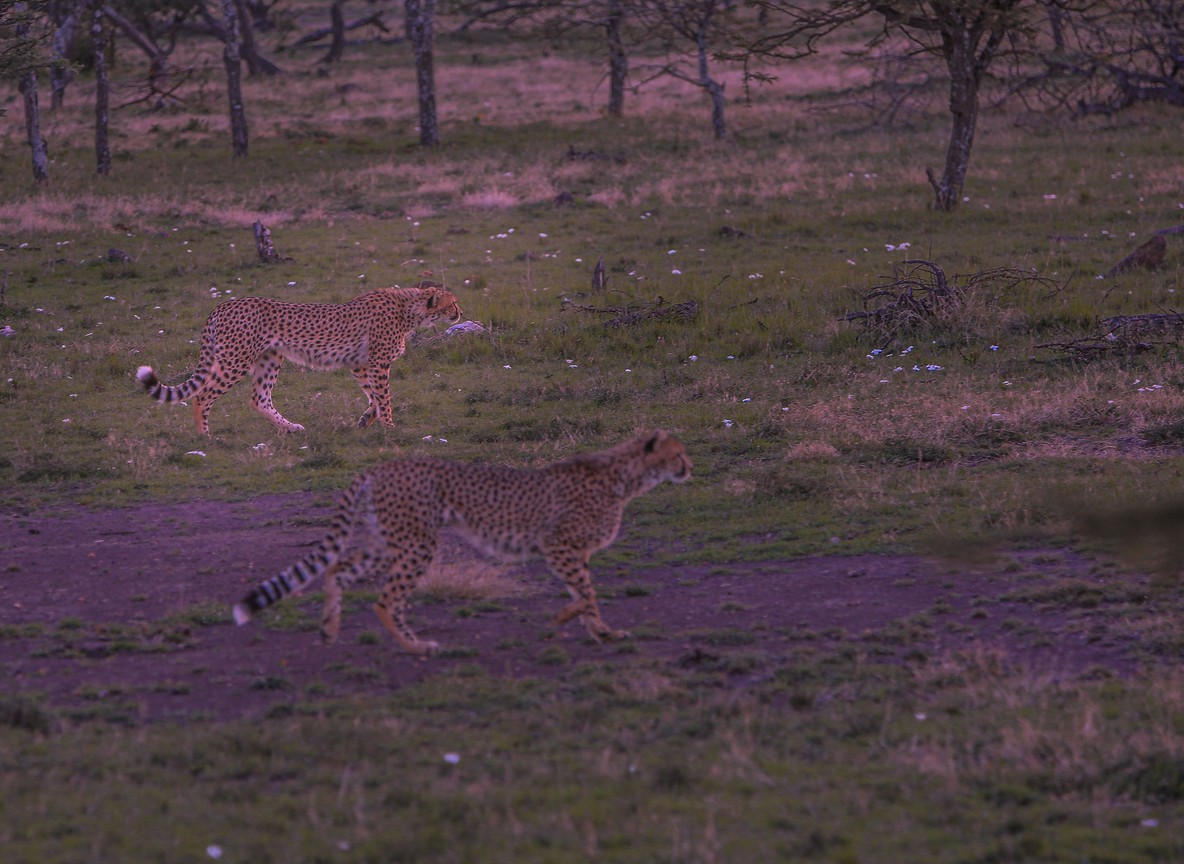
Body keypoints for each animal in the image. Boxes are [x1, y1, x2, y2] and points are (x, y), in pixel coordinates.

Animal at [136, 282, 463, 436]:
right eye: (453, 303)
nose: (460, 313)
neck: (409, 310)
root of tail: (224, 303)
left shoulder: (360, 364)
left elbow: (374, 396)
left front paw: (367, 420)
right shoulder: (377, 363)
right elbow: (384, 397)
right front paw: (390, 428)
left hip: (269, 358)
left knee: (259, 399)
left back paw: (291, 428)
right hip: (236, 360)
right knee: (202, 395)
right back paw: (205, 437)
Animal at [232, 430, 692, 655]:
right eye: (678, 454)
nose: (690, 467)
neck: (626, 478)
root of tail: (384, 465)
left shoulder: (567, 551)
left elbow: (583, 594)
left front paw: (594, 630)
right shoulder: (559, 545)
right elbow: (588, 594)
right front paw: (591, 626)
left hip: (392, 539)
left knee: (337, 568)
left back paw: (330, 629)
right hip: (416, 543)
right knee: (385, 600)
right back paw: (415, 646)